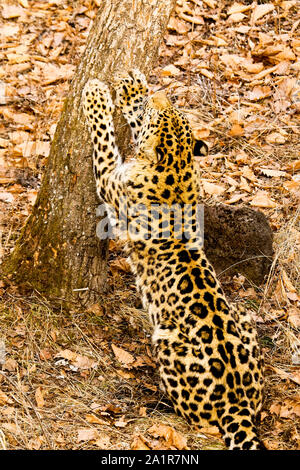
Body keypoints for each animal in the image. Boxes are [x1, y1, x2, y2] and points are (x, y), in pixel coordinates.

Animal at [81, 70, 262, 452]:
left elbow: (105, 139)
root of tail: (237, 405)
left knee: (195, 416)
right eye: (169, 111)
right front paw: (132, 88)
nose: (160, 95)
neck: (177, 167)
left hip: (166, 341)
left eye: (159, 114)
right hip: (244, 318)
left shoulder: (110, 182)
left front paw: (96, 96)